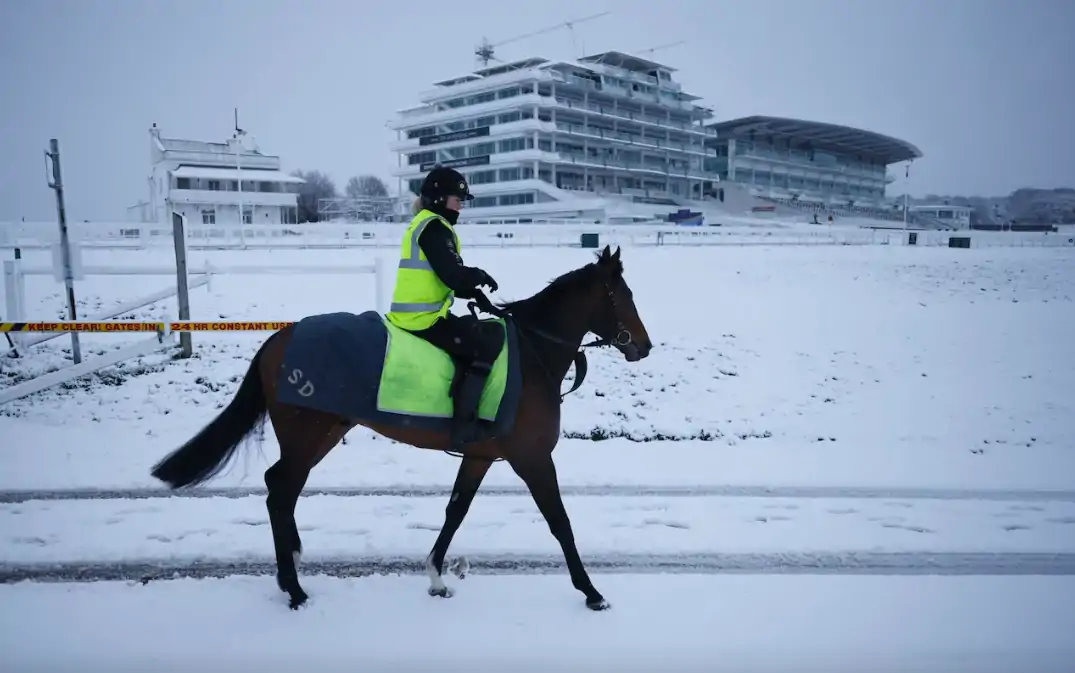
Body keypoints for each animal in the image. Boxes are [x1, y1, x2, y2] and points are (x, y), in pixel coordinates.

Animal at [149, 244, 653, 610]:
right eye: (624, 296)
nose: (644, 347)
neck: (532, 355)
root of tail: (279, 337)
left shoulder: (481, 455)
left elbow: (455, 511)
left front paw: (435, 576)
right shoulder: (531, 458)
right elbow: (560, 522)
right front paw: (591, 591)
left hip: (322, 434)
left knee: (283, 488)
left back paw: (290, 565)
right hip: (309, 434)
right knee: (280, 490)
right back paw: (294, 588)